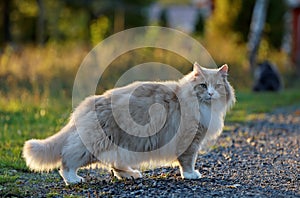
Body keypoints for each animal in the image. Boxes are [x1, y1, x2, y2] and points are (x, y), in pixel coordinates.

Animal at [22, 62, 236, 185]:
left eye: (217, 86)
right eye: (203, 86)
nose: (211, 93)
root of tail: (88, 103)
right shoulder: (190, 140)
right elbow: (188, 161)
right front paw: (191, 175)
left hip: (123, 146)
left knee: (115, 165)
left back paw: (131, 174)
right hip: (94, 145)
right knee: (67, 160)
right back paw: (74, 179)